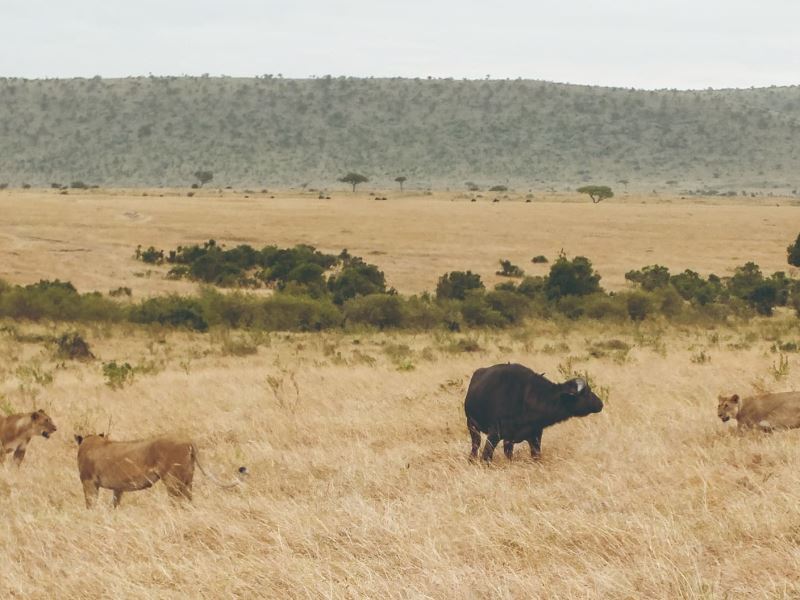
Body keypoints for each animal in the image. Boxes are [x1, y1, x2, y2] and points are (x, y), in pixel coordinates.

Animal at [466, 364, 604, 462]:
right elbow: (486, 457)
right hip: (472, 426)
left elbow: (536, 456)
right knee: (475, 446)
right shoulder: (494, 434)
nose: (600, 404)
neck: (526, 398)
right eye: (586, 393)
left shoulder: (535, 435)